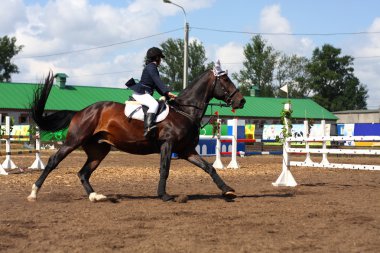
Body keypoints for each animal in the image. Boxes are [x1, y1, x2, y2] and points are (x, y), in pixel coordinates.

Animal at [26, 66, 246, 202]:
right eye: (225, 79)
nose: (241, 101)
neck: (184, 111)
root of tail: (80, 112)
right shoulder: (167, 145)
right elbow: (164, 169)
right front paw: (164, 195)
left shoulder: (186, 150)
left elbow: (210, 168)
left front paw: (227, 190)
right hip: (74, 141)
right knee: (54, 162)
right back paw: (34, 193)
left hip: (99, 150)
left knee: (83, 173)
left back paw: (96, 196)